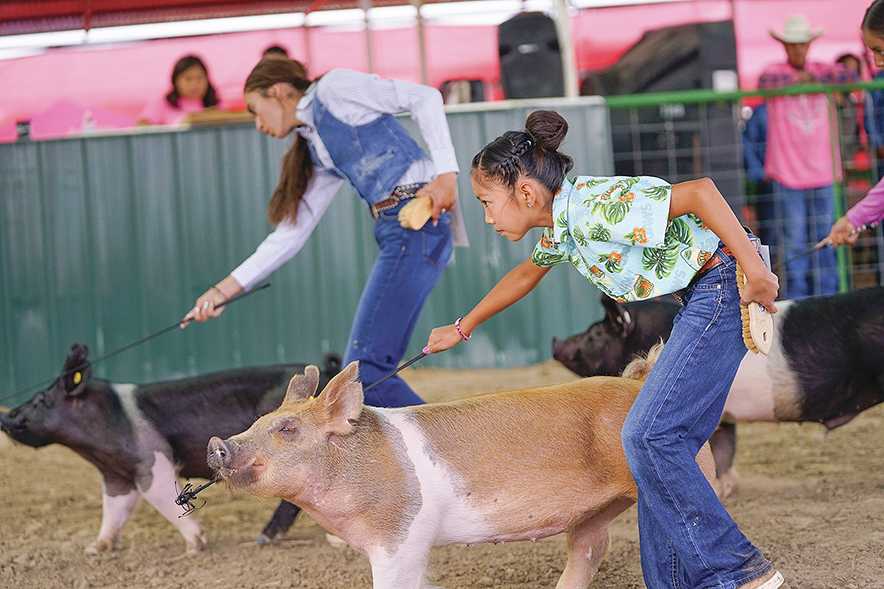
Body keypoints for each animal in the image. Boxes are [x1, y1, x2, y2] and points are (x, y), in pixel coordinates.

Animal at [0, 342, 340, 552]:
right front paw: (94, 548)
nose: (7, 416)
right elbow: (114, 507)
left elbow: (161, 495)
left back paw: (265, 538)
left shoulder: (152, 457)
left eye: (41, 399)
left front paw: (196, 546)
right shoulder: (116, 473)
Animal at [207, 358, 720, 588]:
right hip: (594, 512)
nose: (218, 444)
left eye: (288, 428)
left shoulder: (401, 537)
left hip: (693, 471)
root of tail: (641, 380)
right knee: (589, 549)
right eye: (259, 421)